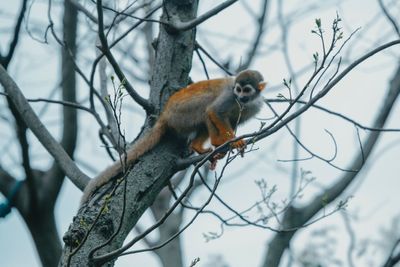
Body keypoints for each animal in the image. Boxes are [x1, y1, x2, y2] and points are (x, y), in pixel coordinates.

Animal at [80, 69, 266, 205]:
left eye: (246, 90)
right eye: (238, 89)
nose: (240, 96)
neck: (246, 102)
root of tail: (165, 114)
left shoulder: (252, 107)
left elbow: (231, 120)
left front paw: (229, 142)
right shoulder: (229, 96)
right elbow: (215, 111)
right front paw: (231, 141)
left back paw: (199, 147)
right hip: (182, 112)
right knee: (207, 106)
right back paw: (216, 141)